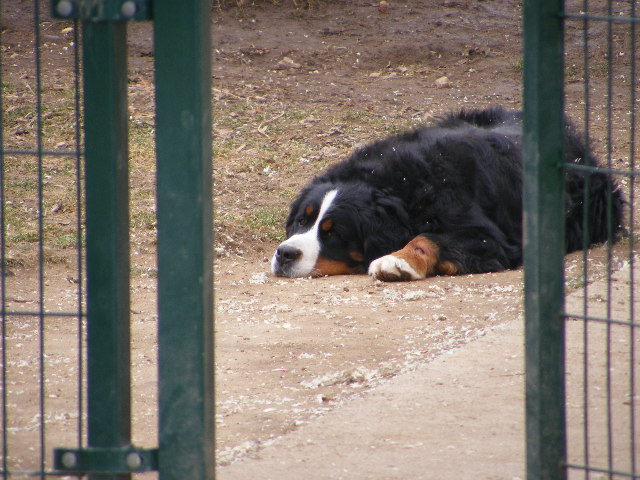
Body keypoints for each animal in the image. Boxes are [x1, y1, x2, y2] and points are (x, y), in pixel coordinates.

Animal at [268, 108, 620, 282]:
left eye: (334, 233)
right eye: (302, 221)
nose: (285, 254)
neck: (399, 183)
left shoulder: (487, 238)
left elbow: (427, 238)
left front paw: (397, 262)